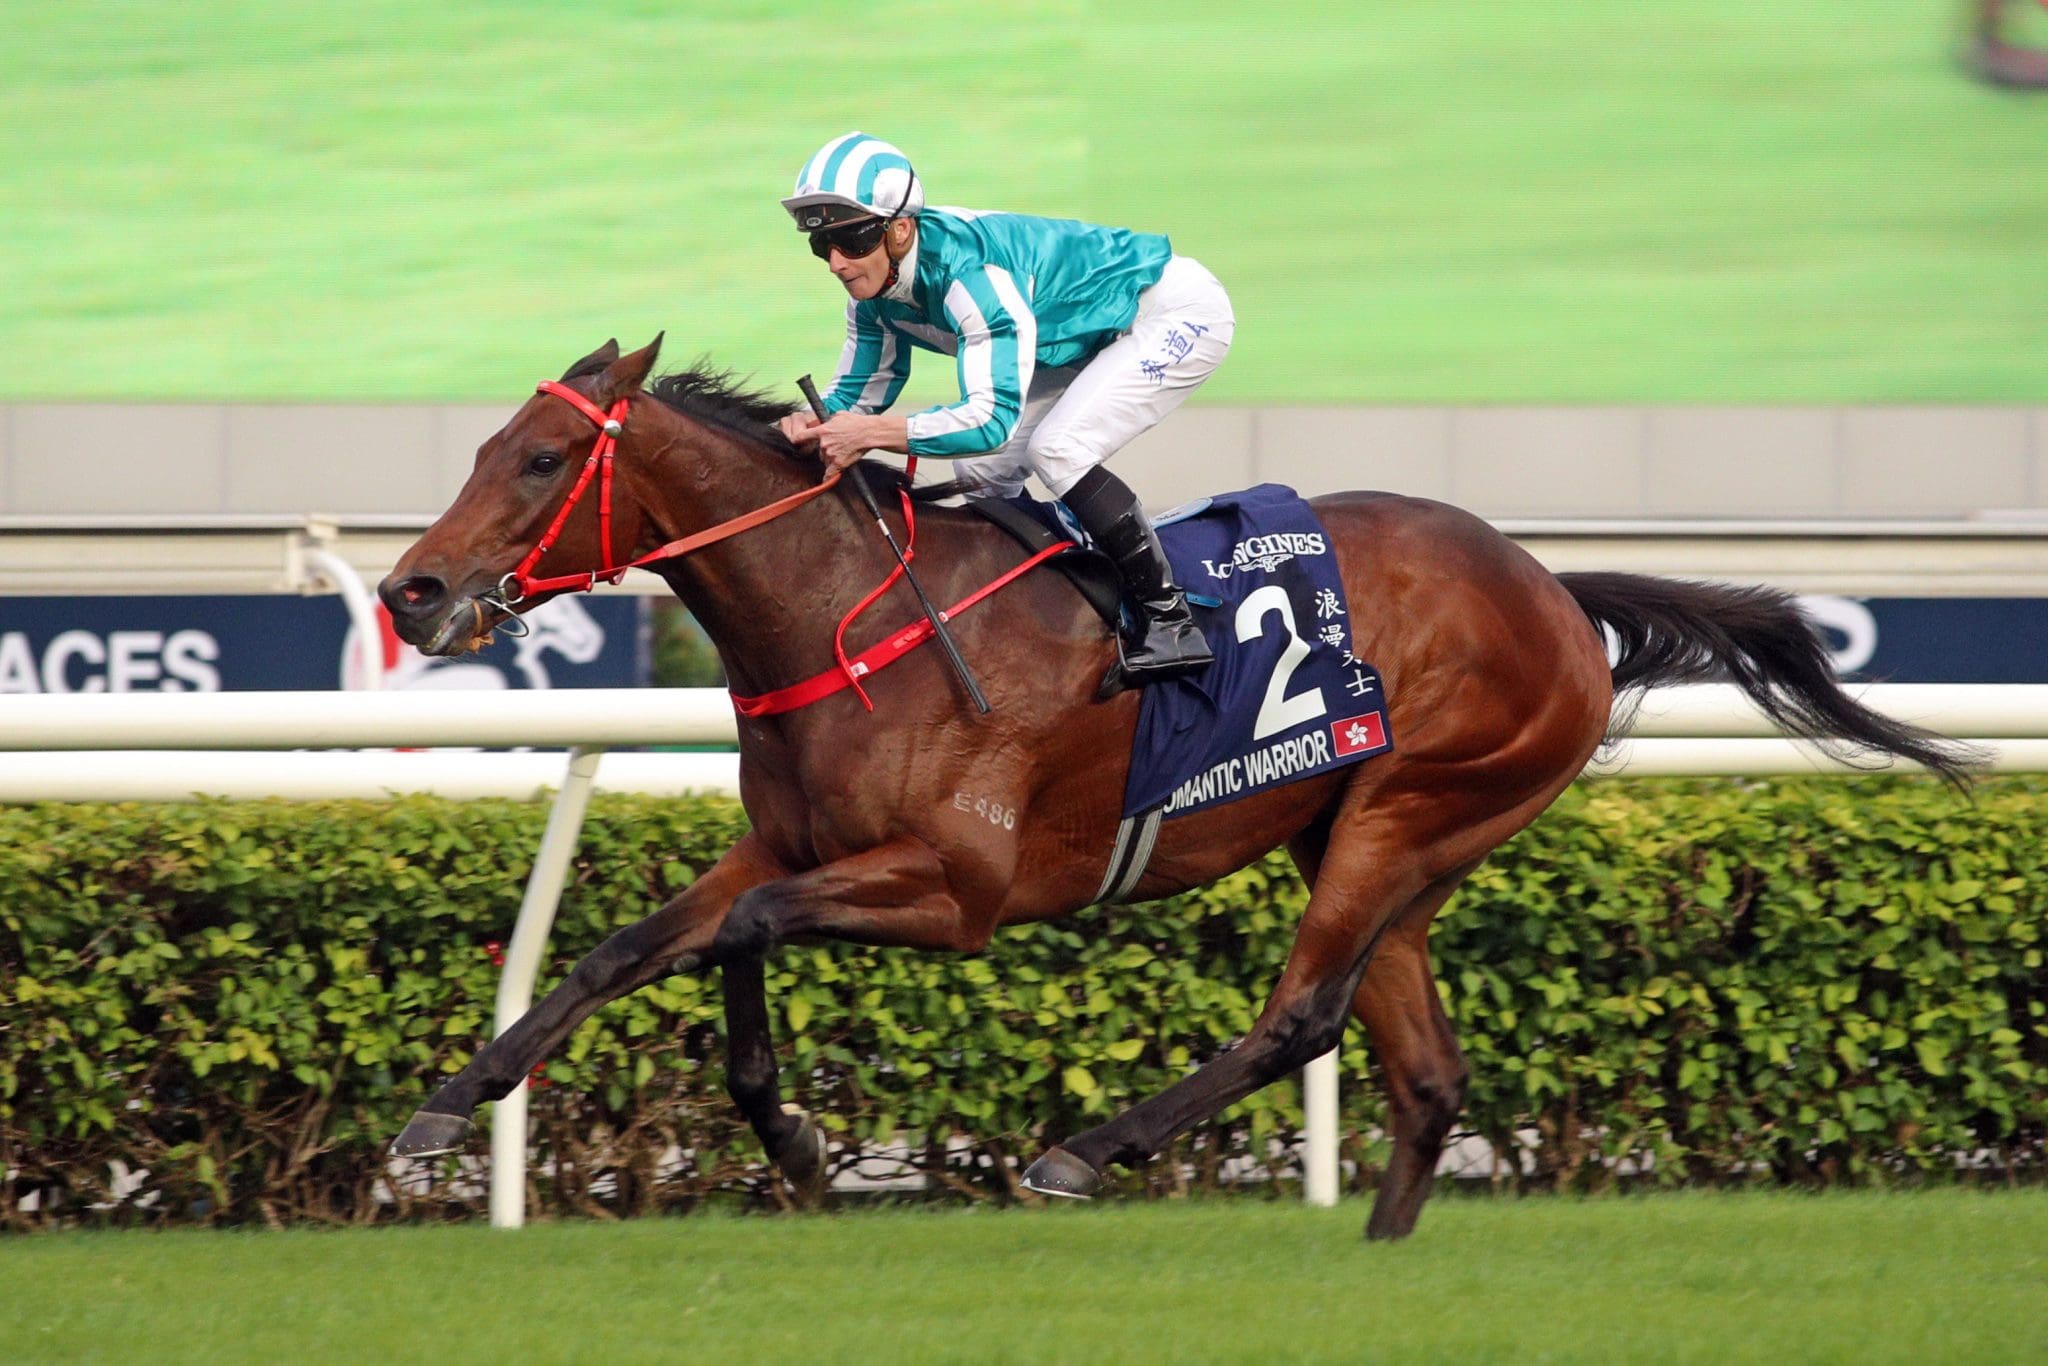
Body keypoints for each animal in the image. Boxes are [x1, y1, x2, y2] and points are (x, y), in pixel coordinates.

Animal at [376, 339, 1974, 1236]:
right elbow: (628, 946)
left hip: (1406, 810)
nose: (413, 589)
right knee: (1423, 1073)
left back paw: (1088, 1151)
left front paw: (794, 1135)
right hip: (1387, 839)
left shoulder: (958, 891)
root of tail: (1552, 588)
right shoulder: (786, 842)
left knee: (1304, 1016)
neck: (844, 609)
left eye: (537, 459)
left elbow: (752, 934)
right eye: (479, 446)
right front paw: (442, 1113)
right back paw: (1376, 1256)